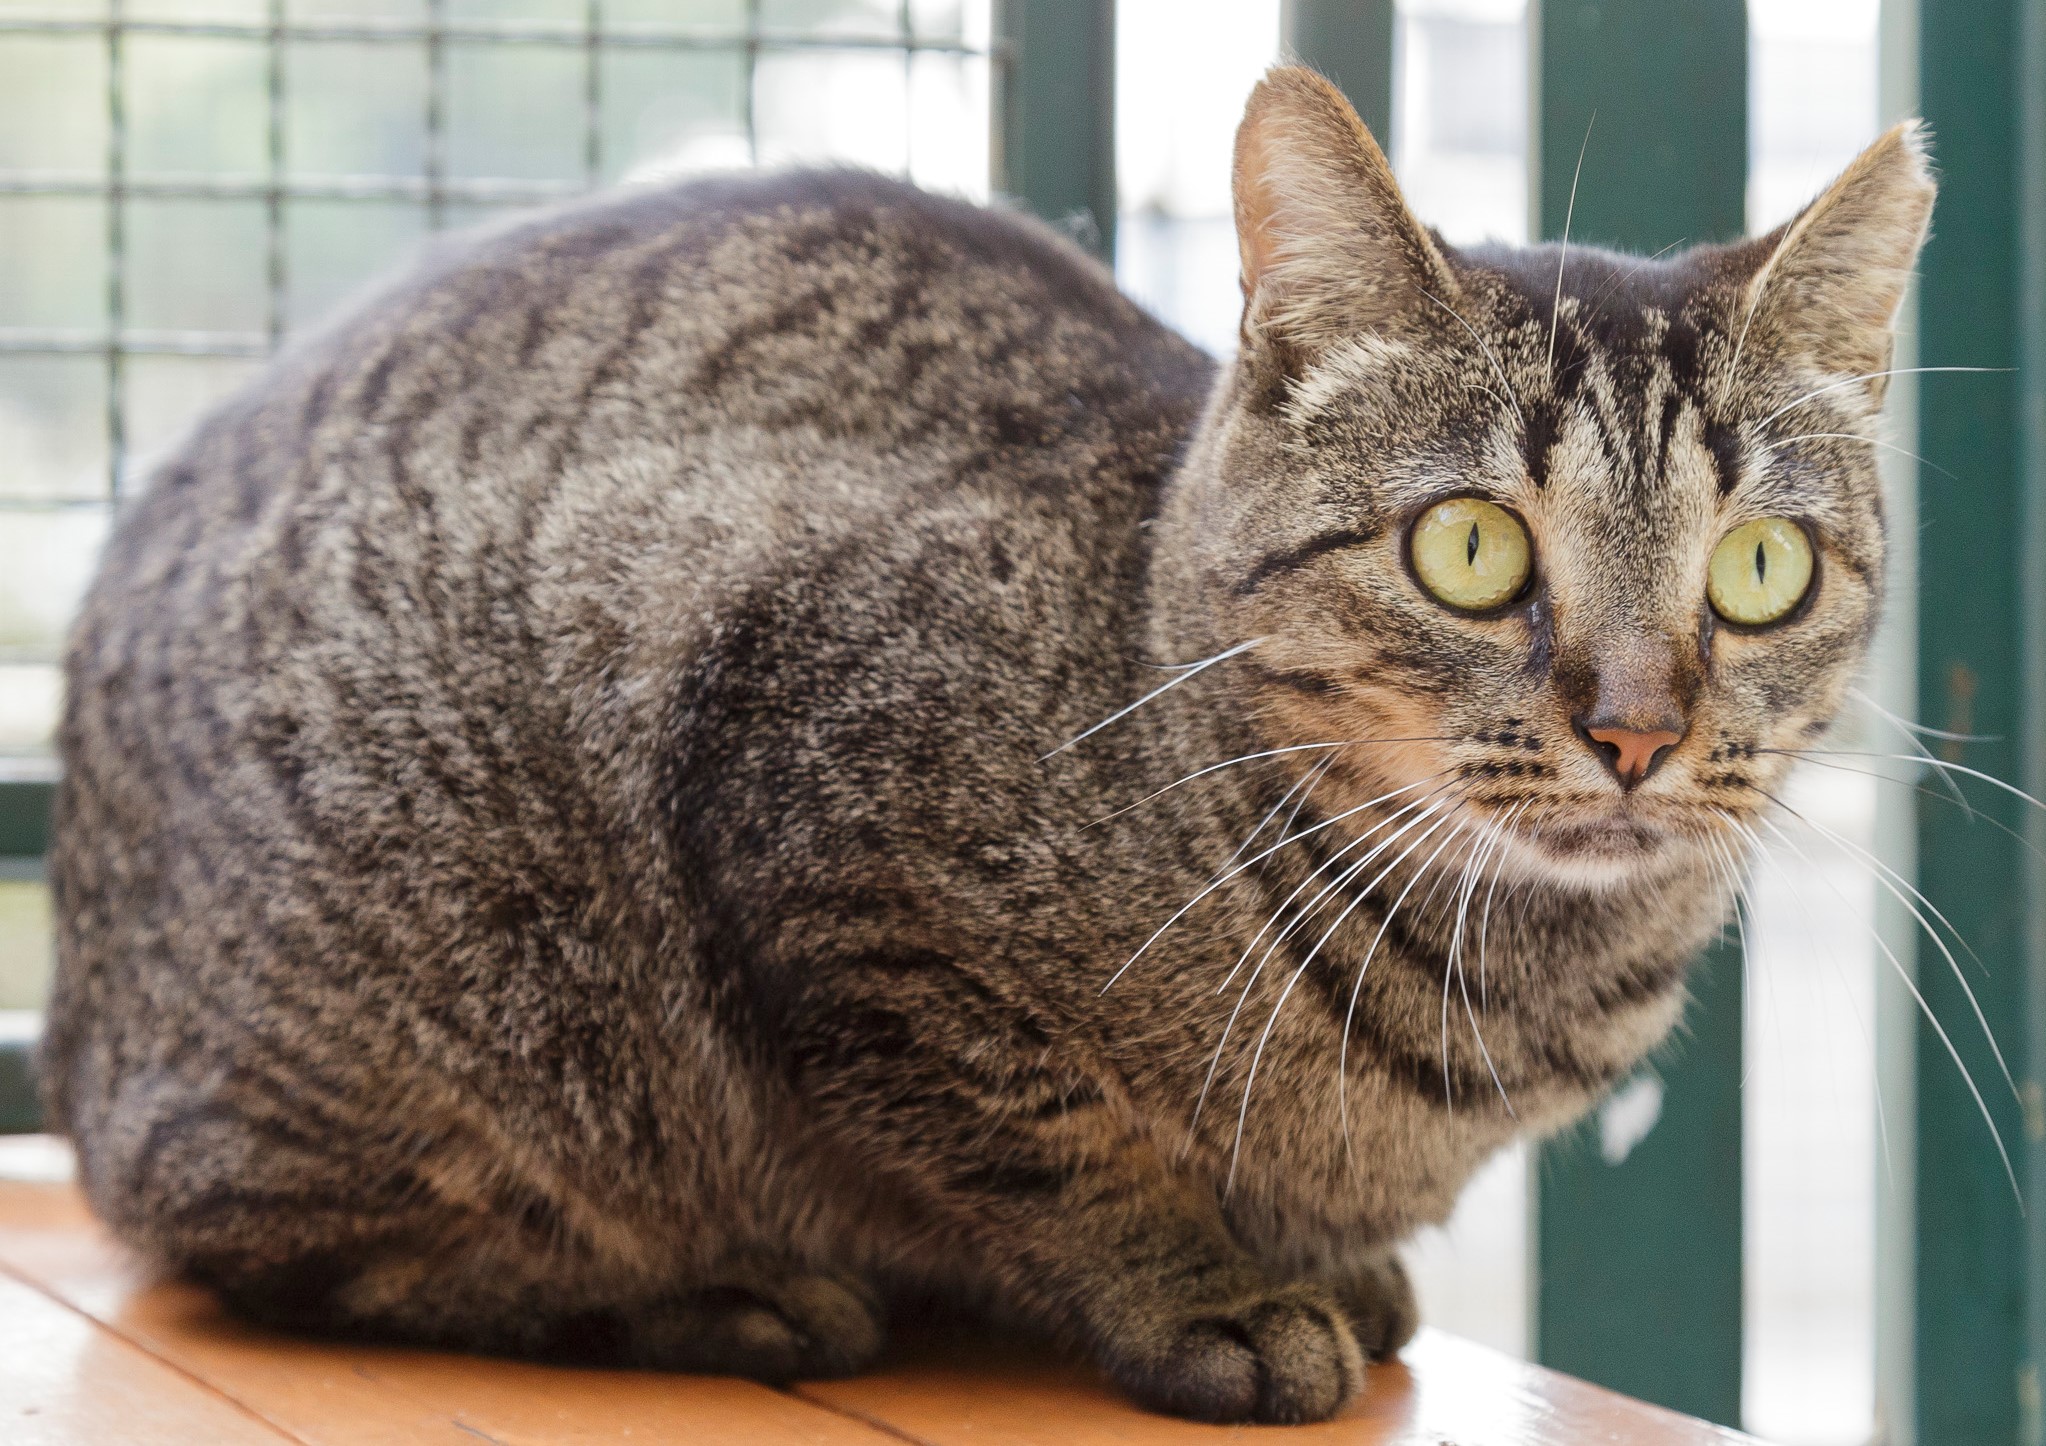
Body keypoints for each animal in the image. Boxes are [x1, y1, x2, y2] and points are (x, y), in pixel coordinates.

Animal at [39, 68, 1923, 1423]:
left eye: (1759, 570)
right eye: (1467, 548)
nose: (1637, 729)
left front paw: (1331, 1263)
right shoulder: (830, 854)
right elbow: (1043, 1133)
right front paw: (1210, 1290)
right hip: (457, 1000)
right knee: (263, 1241)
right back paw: (710, 1291)